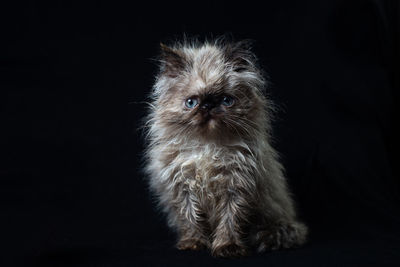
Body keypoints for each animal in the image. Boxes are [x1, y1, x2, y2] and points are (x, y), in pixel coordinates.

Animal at [143, 38, 306, 258]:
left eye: (226, 100)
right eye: (191, 102)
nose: (208, 106)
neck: (207, 147)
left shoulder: (236, 187)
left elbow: (229, 221)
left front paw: (228, 247)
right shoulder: (183, 190)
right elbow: (191, 220)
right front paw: (194, 243)